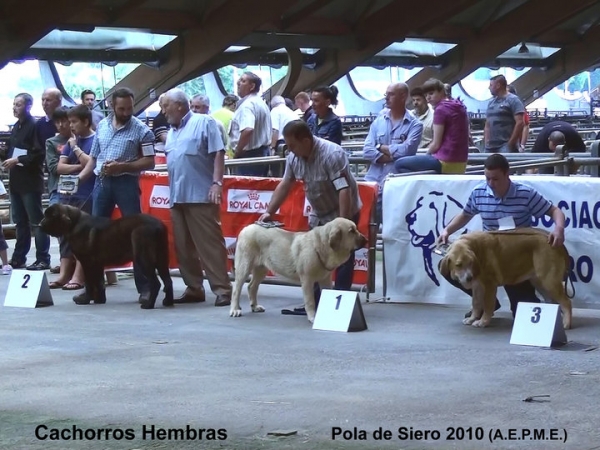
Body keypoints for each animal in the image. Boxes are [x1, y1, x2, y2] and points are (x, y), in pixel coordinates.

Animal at [40, 204, 173, 310]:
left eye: (51, 216)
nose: (40, 225)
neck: (74, 223)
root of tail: (158, 225)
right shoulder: (97, 263)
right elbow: (99, 282)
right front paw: (99, 299)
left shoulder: (86, 262)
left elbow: (89, 283)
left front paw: (85, 299)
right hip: (162, 258)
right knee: (168, 281)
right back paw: (168, 302)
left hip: (143, 258)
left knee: (156, 283)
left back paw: (148, 305)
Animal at [232, 216, 368, 322]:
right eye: (351, 231)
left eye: (356, 229)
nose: (366, 239)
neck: (321, 246)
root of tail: (247, 228)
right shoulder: (307, 280)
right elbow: (310, 300)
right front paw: (313, 317)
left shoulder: (325, 280)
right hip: (244, 266)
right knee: (236, 289)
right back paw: (235, 309)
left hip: (261, 269)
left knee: (252, 286)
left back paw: (254, 306)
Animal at [440, 230, 572, 328]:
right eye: (459, 265)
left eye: (471, 263)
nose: (469, 277)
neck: (476, 249)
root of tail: (557, 243)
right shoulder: (477, 286)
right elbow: (476, 303)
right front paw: (472, 318)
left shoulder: (490, 285)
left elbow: (488, 305)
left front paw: (483, 321)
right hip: (540, 282)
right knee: (553, 302)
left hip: (549, 281)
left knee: (566, 302)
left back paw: (566, 323)